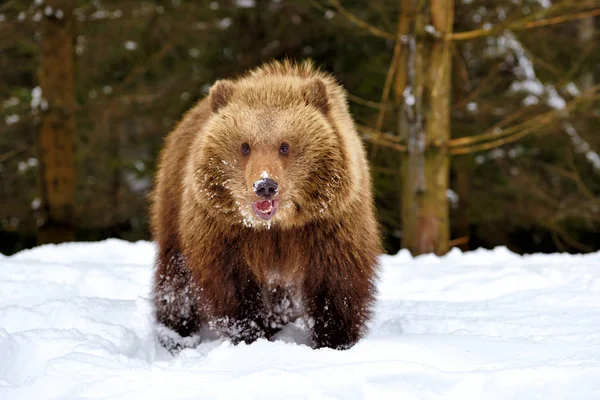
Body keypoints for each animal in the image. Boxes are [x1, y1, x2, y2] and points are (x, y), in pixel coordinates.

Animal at [152, 59, 382, 350]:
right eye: (245, 146)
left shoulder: (327, 224)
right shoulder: (225, 230)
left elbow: (337, 282)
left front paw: (336, 340)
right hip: (173, 203)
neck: (277, 226)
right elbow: (232, 286)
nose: (264, 185)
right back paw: (175, 332)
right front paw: (248, 334)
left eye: (285, 146)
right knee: (175, 276)